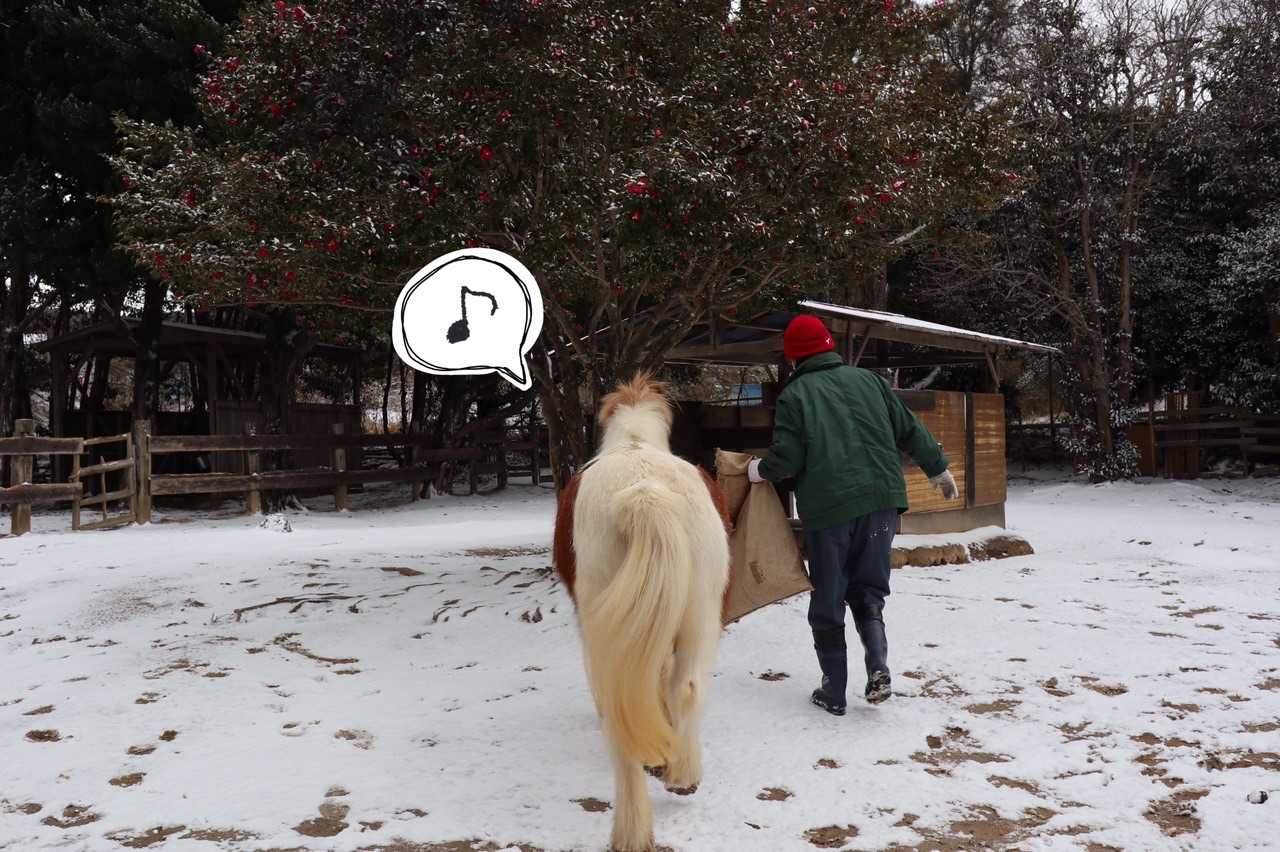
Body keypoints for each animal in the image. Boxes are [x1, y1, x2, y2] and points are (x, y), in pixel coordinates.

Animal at [553, 373, 732, 852]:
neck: (634, 443)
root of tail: (645, 493)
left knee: (619, 719)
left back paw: (630, 830)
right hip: (700, 614)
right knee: (687, 686)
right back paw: (682, 774)